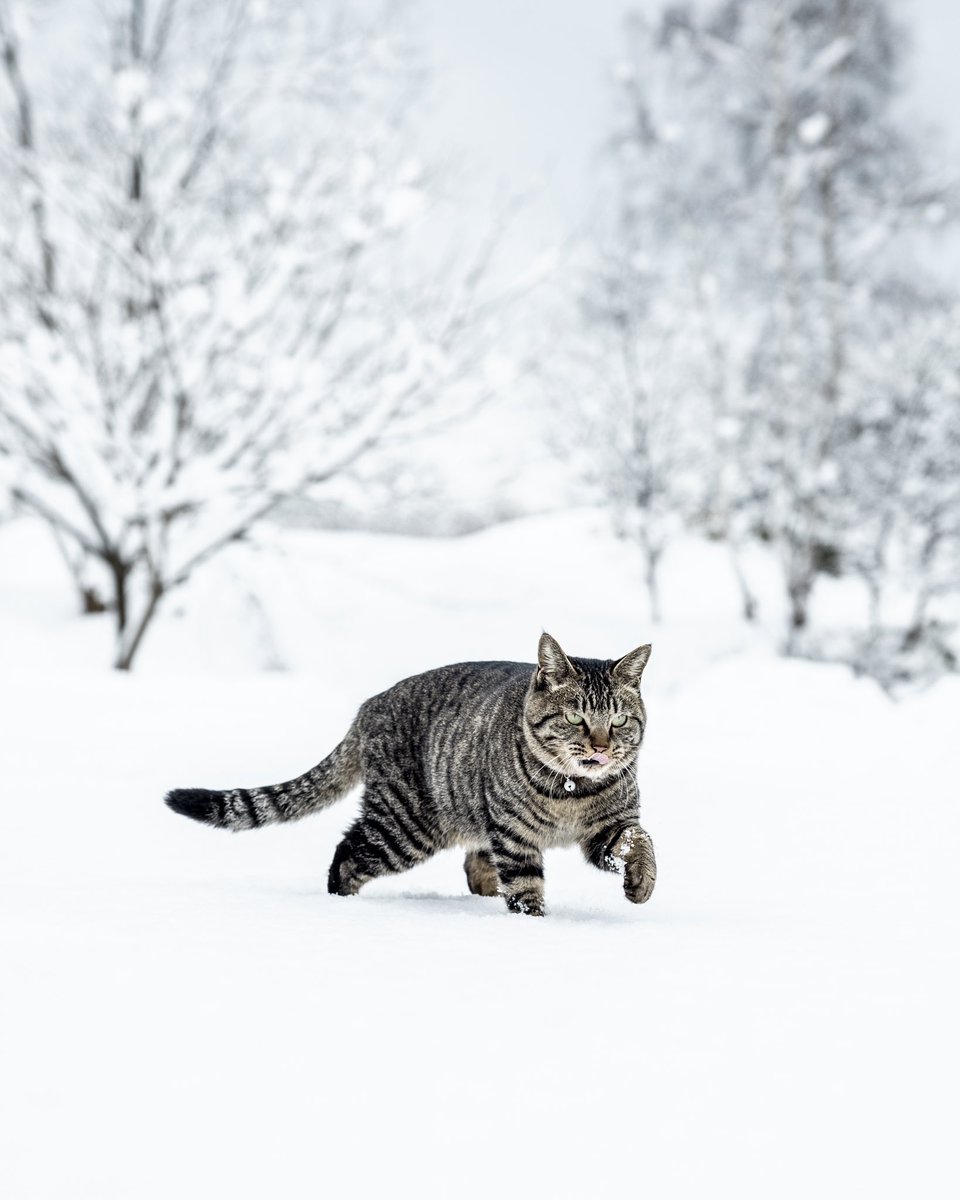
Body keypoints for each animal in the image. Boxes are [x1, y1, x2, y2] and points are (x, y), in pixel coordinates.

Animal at [166, 633, 662, 912]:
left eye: (619, 720)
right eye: (576, 718)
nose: (601, 747)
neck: (572, 791)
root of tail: (369, 705)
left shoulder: (610, 827)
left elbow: (640, 840)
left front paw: (641, 882)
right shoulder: (516, 839)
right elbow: (526, 889)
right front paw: (533, 926)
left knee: (473, 862)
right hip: (404, 827)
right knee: (348, 853)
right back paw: (340, 910)